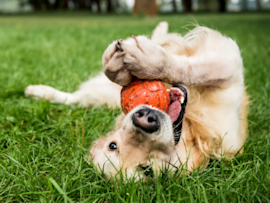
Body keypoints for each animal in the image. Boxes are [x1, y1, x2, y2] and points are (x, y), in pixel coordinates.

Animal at [25, 22, 249, 179]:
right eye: (113, 145)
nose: (145, 119)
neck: (191, 128)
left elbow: (193, 69)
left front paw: (142, 61)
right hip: (100, 96)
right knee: (76, 98)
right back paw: (38, 92)